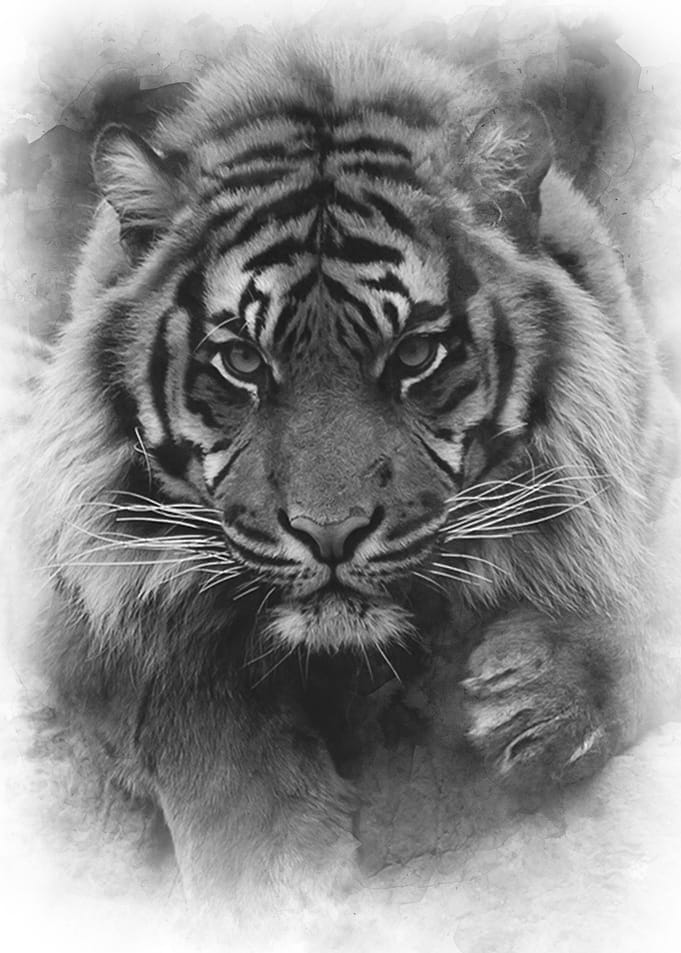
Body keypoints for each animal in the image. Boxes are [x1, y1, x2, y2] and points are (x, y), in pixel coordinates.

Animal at [18, 32, 681, 910]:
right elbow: (173, 678)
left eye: (414, 354)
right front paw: (272, 870)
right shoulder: (72, 582)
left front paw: (539, 697)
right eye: (240, 361)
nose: (329, 535)